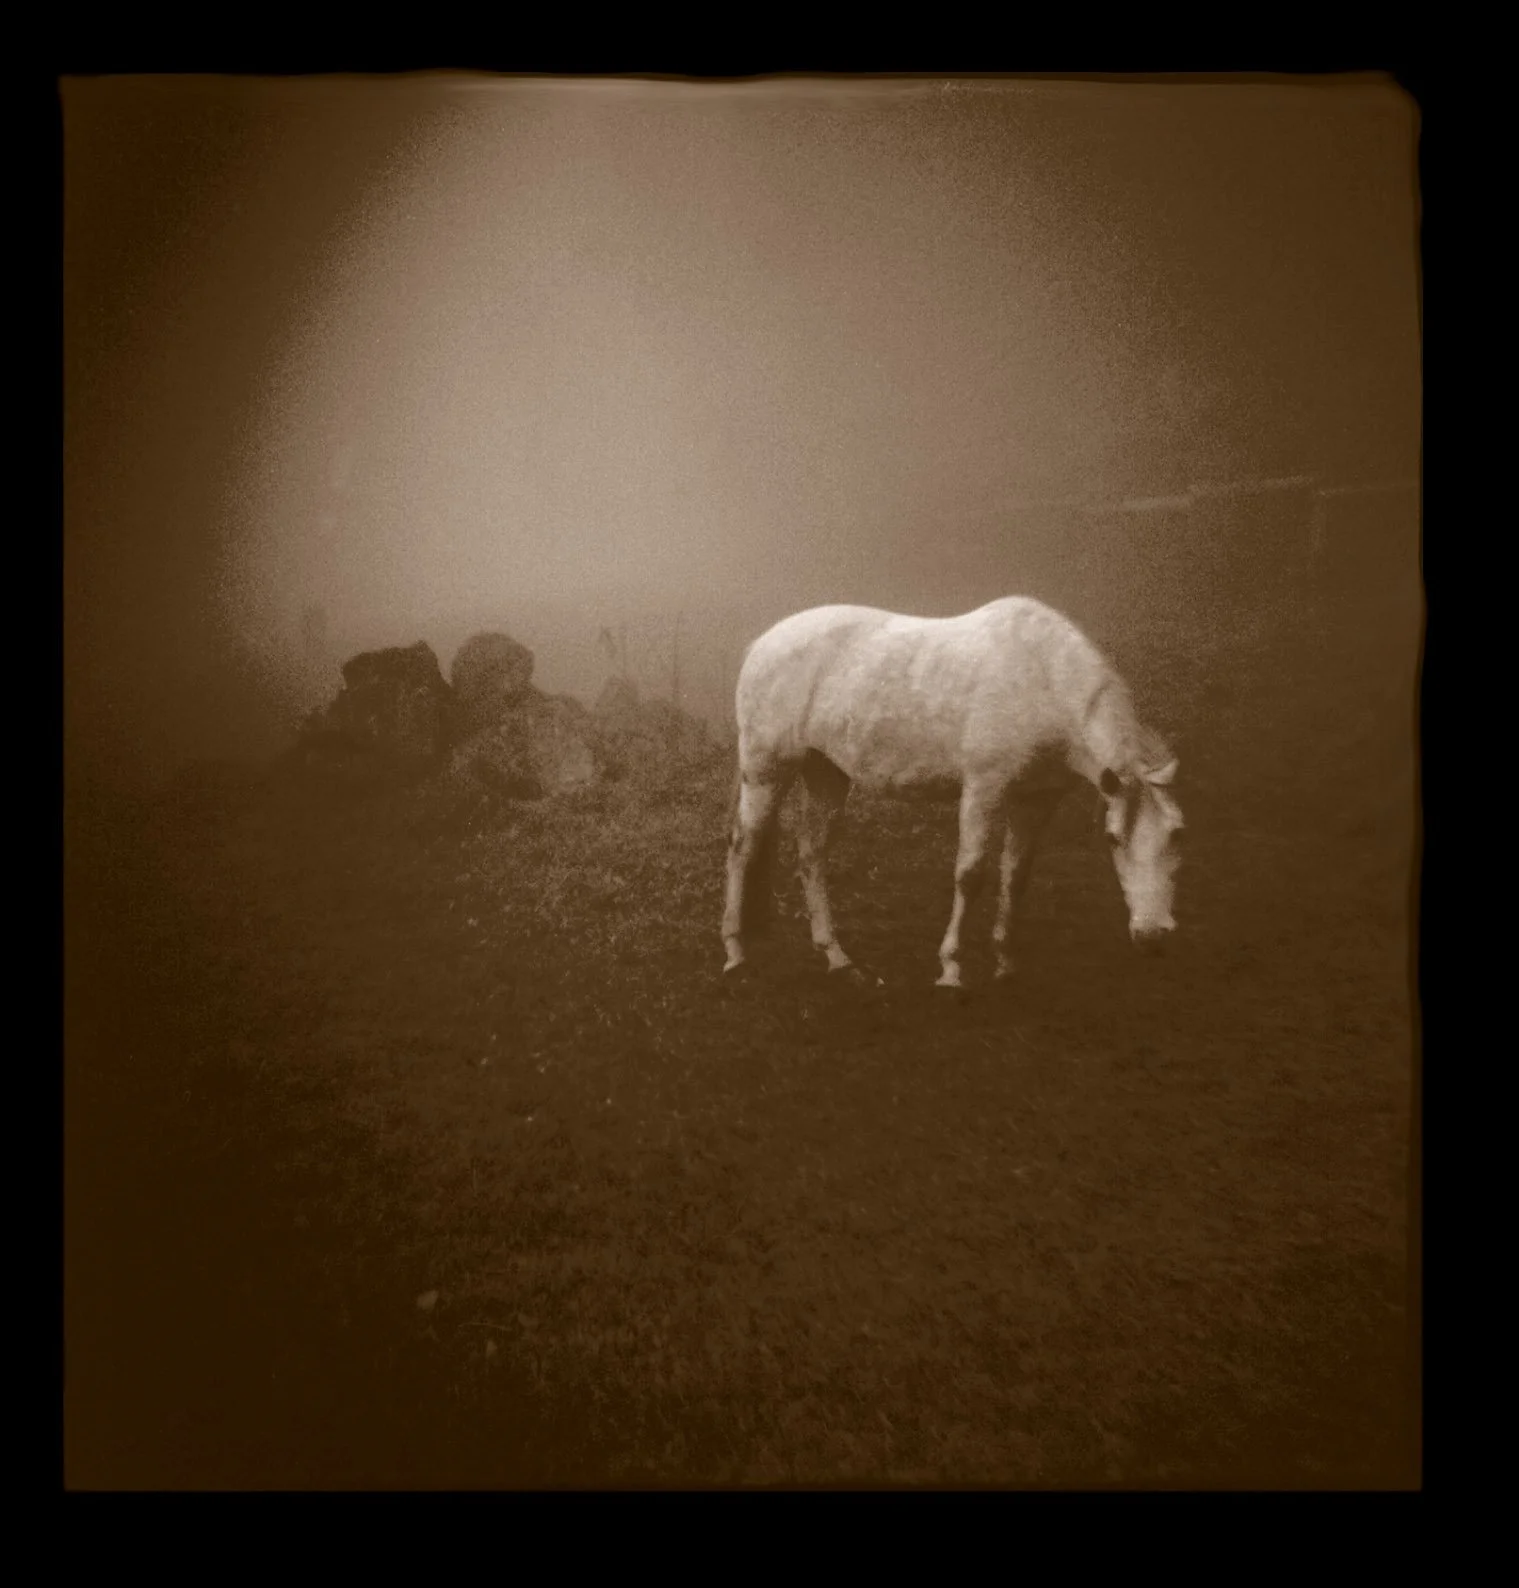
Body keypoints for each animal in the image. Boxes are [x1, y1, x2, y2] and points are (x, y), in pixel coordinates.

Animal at [721, 596, 1183, 988]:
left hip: (826, 773)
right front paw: (951, 970)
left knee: (812, 855)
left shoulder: (1034, 801)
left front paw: (1005, 962)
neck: (1041, 680)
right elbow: (970, 875)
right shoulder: (983, 788)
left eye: (1177, 834)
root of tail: (763, 644)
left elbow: (1015, 876)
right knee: (743, 848)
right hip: (766, 773)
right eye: (1113, 838)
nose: (1152, 936)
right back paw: (735, 951)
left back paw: (837, 957)